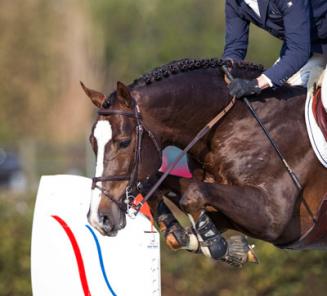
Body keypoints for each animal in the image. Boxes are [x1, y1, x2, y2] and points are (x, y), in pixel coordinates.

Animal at [80, 58, 327, 268]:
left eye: (124, 142)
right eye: (92, 142)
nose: (99, 219)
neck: (230, 123)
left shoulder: (273, 216)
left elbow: (192, 195)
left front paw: (216, 244)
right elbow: (161, 186)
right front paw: (186, 235)